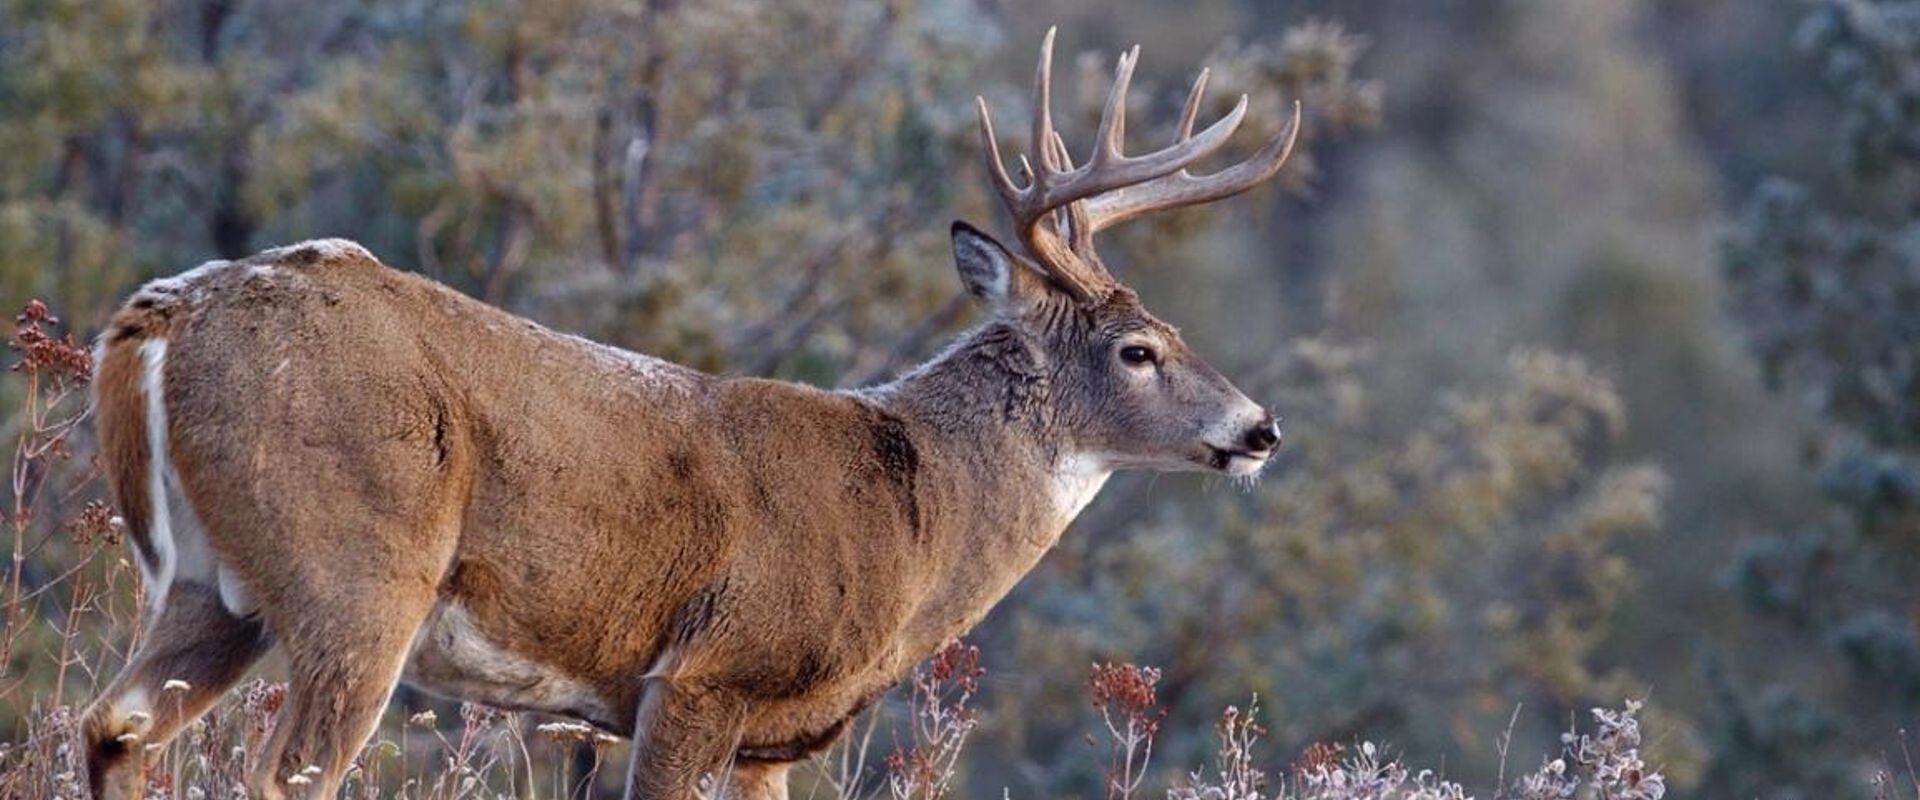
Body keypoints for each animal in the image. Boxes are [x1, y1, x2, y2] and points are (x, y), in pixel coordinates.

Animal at [79, 29, 1299, 800]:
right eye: (1139, 350)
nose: (1260, 428)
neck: (919, 520)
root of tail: (160, 317)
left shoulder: (774, 739)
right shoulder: (707, 673)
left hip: (210, 586)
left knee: (113, 727)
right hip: (356, 566)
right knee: (283, 771)